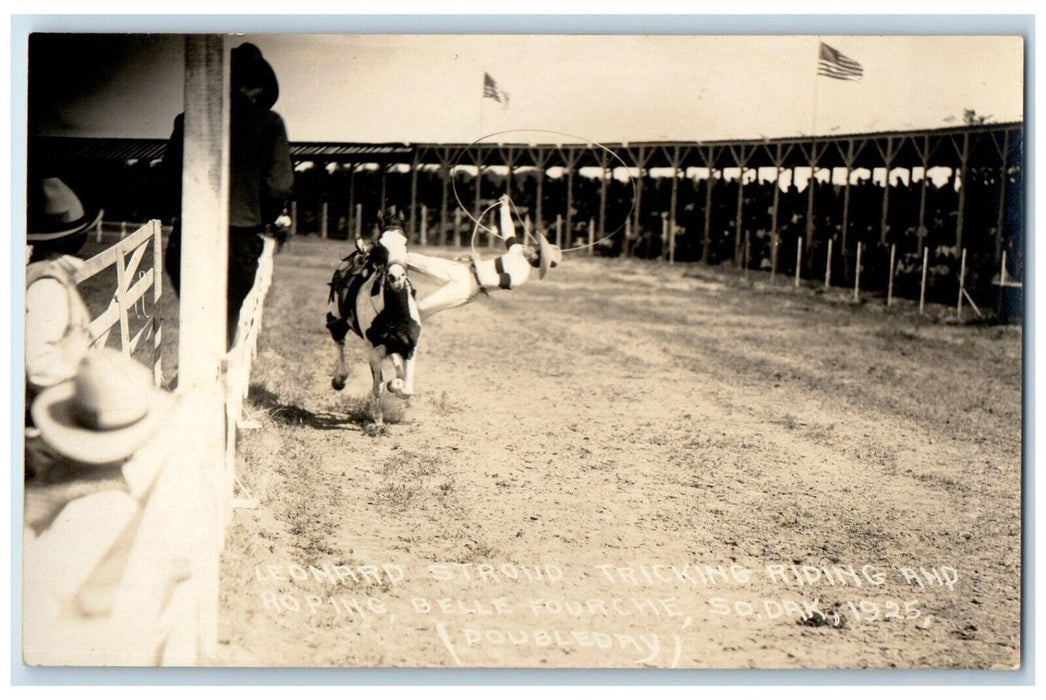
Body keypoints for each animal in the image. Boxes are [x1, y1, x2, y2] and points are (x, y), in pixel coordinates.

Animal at [328, 220, 422, 422]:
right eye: (381, 246)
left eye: (406, 243)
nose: (396, 278)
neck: (394, 315)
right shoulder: (373, 351)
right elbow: (378, 385)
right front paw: (377, 418)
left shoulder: (410, 347)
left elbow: (407, 389)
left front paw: (396, 384)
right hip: (335, 321)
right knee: (339, 342)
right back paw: (340, 378)